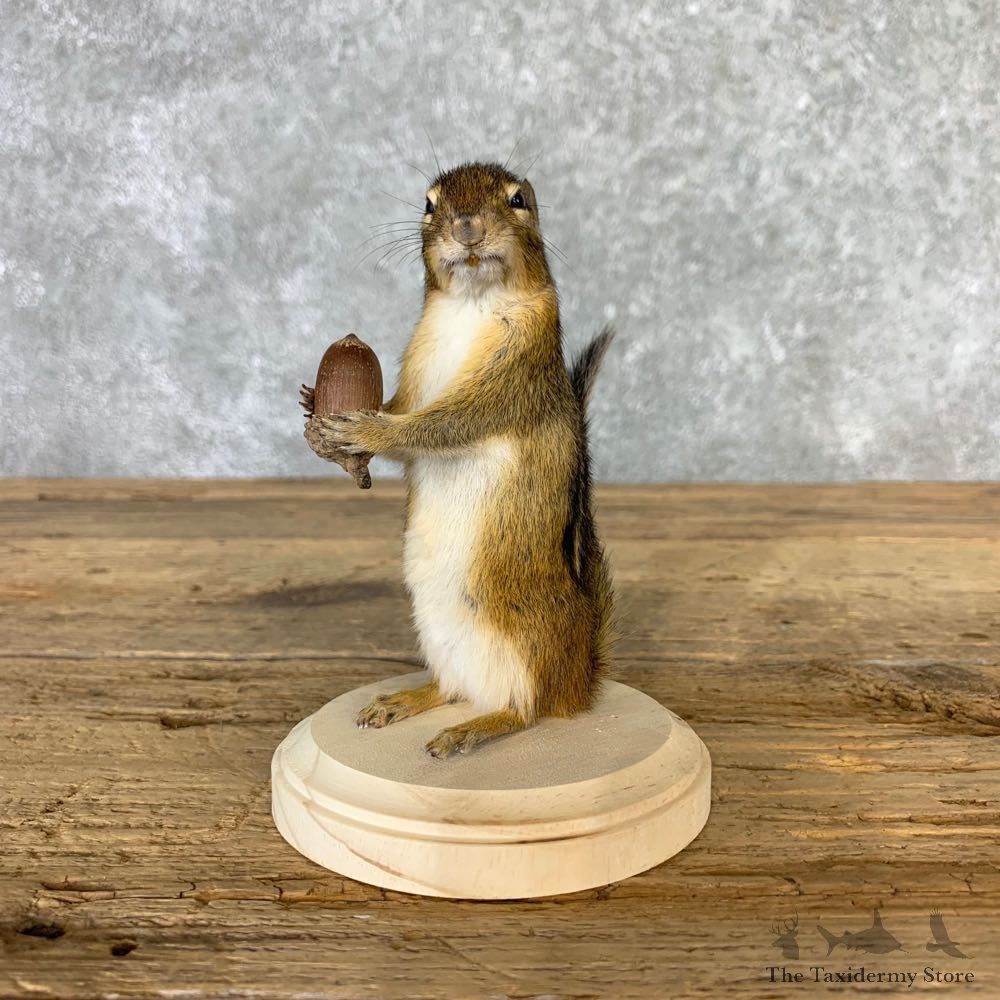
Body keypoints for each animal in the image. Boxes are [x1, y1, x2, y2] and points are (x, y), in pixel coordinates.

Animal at [301, 160, 618, 758]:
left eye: (519, 200)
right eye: (429, 204)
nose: (466, 225)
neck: (473, 304)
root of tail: (579, 685)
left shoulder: (517, 373)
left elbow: (445, 423)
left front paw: (370, 427)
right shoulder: (416, 369)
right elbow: (407, 423)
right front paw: (316, 413)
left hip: (526, 634)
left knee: (525, 709)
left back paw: (472, 730)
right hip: (436, 632)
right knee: (452, 688)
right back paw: (404, 701)